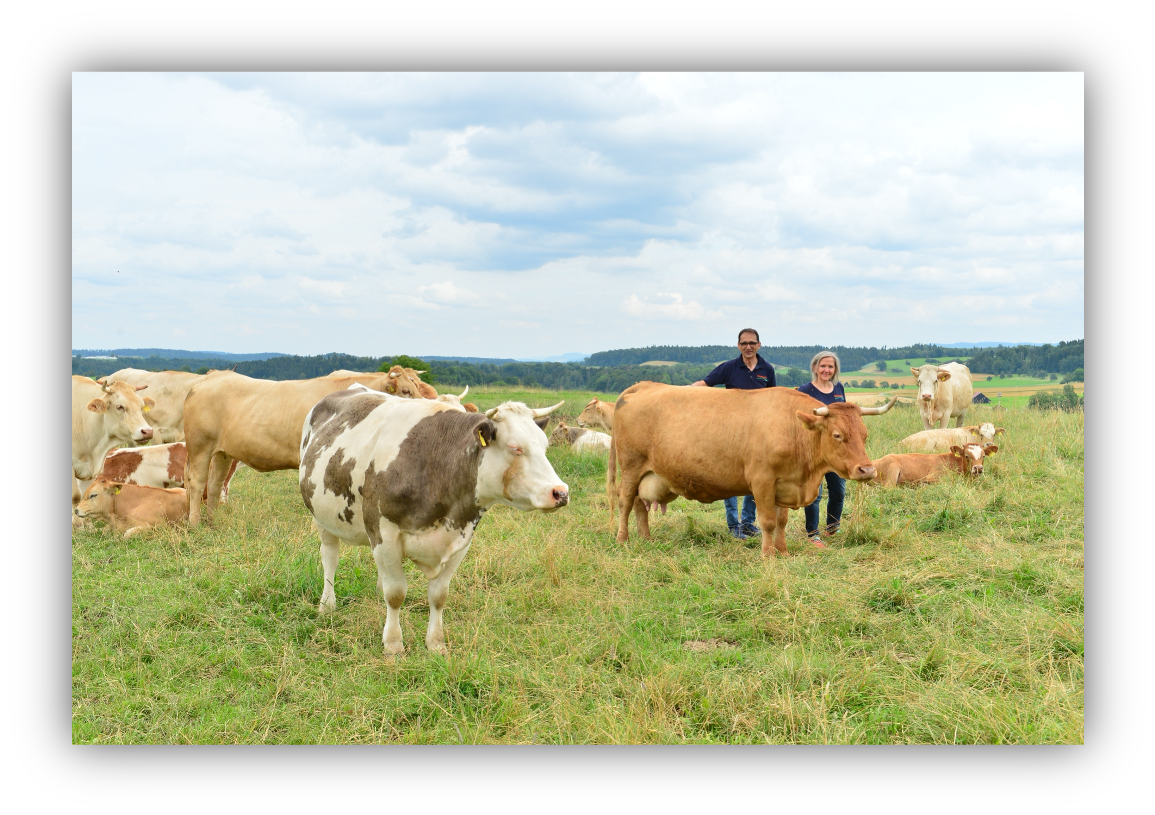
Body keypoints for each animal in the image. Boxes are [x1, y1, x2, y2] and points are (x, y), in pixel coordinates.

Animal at [183, 370, 423, 526]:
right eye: (405, 390)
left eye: (416, 386)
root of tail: (212, 376)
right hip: (200, 446)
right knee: (197, 482)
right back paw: (195, 523)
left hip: (223, 452)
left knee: (215, 483)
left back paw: (213, 521)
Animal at [299, 387, 568, 655]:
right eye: (515, 447)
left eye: (545, 446)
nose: (561, 492)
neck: (436, 465)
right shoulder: (384, 534)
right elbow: (395, 593)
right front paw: (393, 645)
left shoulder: (461, 539)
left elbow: (439, 595)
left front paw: (436, 643)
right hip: (321, 517)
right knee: (330, 556)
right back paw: (327, 604)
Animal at [607, 382, 896, 556]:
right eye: (837, 435)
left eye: (865, 434)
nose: (867, 470)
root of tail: (643, 385)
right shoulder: (762, 481)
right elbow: (767, 521)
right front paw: (768, 555)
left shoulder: (784, 484)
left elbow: (781, 521)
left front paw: (782, 551)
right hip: (631, 466)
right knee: (625, 501)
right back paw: (622, 539)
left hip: (646, 473)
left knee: (639, 504)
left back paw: (646, 538)